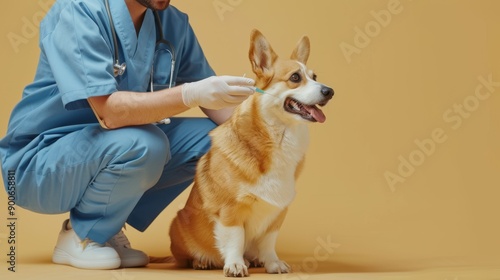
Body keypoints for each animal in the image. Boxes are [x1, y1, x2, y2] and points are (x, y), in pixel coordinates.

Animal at [166, 29, 334, 276]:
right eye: (295, 78)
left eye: (314, 76)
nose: (330, 91)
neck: (279, 138)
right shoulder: (230, 210)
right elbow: (235, 238)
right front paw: (235, 264)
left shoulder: (278, 213)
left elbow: (268, 242)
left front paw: (273, 264)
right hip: (178, 225)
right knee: (187, 257)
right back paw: (203, 262)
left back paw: (253, 260)